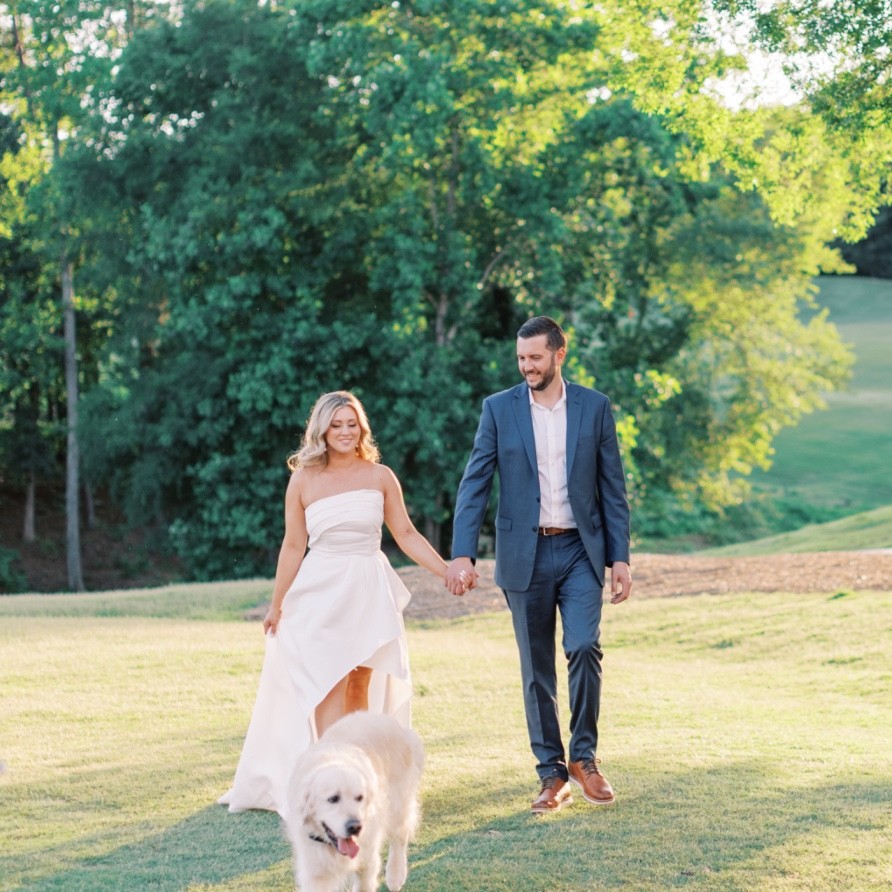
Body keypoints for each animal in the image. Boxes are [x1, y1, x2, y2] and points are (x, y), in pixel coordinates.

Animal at [286, 711, 425, 892]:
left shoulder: (367, 862)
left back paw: (396, 875)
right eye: (333, 799)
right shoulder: (315, 872)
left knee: (400, 837)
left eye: (359, 798)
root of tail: (385, 718)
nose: (355, 827)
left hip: (397, 805)